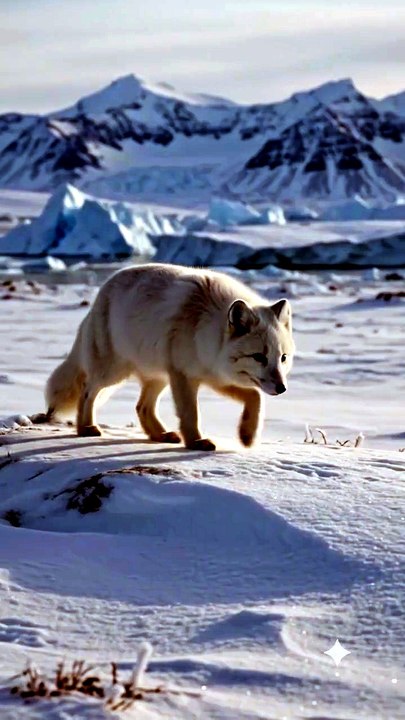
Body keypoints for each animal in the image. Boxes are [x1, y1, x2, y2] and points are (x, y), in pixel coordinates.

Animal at [42, 263, 294, 451]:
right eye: (259, 357)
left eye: (282, 358)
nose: (282, 388)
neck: (205, 326)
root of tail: (99, 297)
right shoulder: (184, 375)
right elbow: (191, 414)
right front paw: (196, 442)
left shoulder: (216, 376)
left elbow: (255, 397)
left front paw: (247, 436)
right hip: (113, 373)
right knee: (87, 390)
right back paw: (85, 428)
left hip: (158, 377)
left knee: (141, 407)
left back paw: (160, 435)